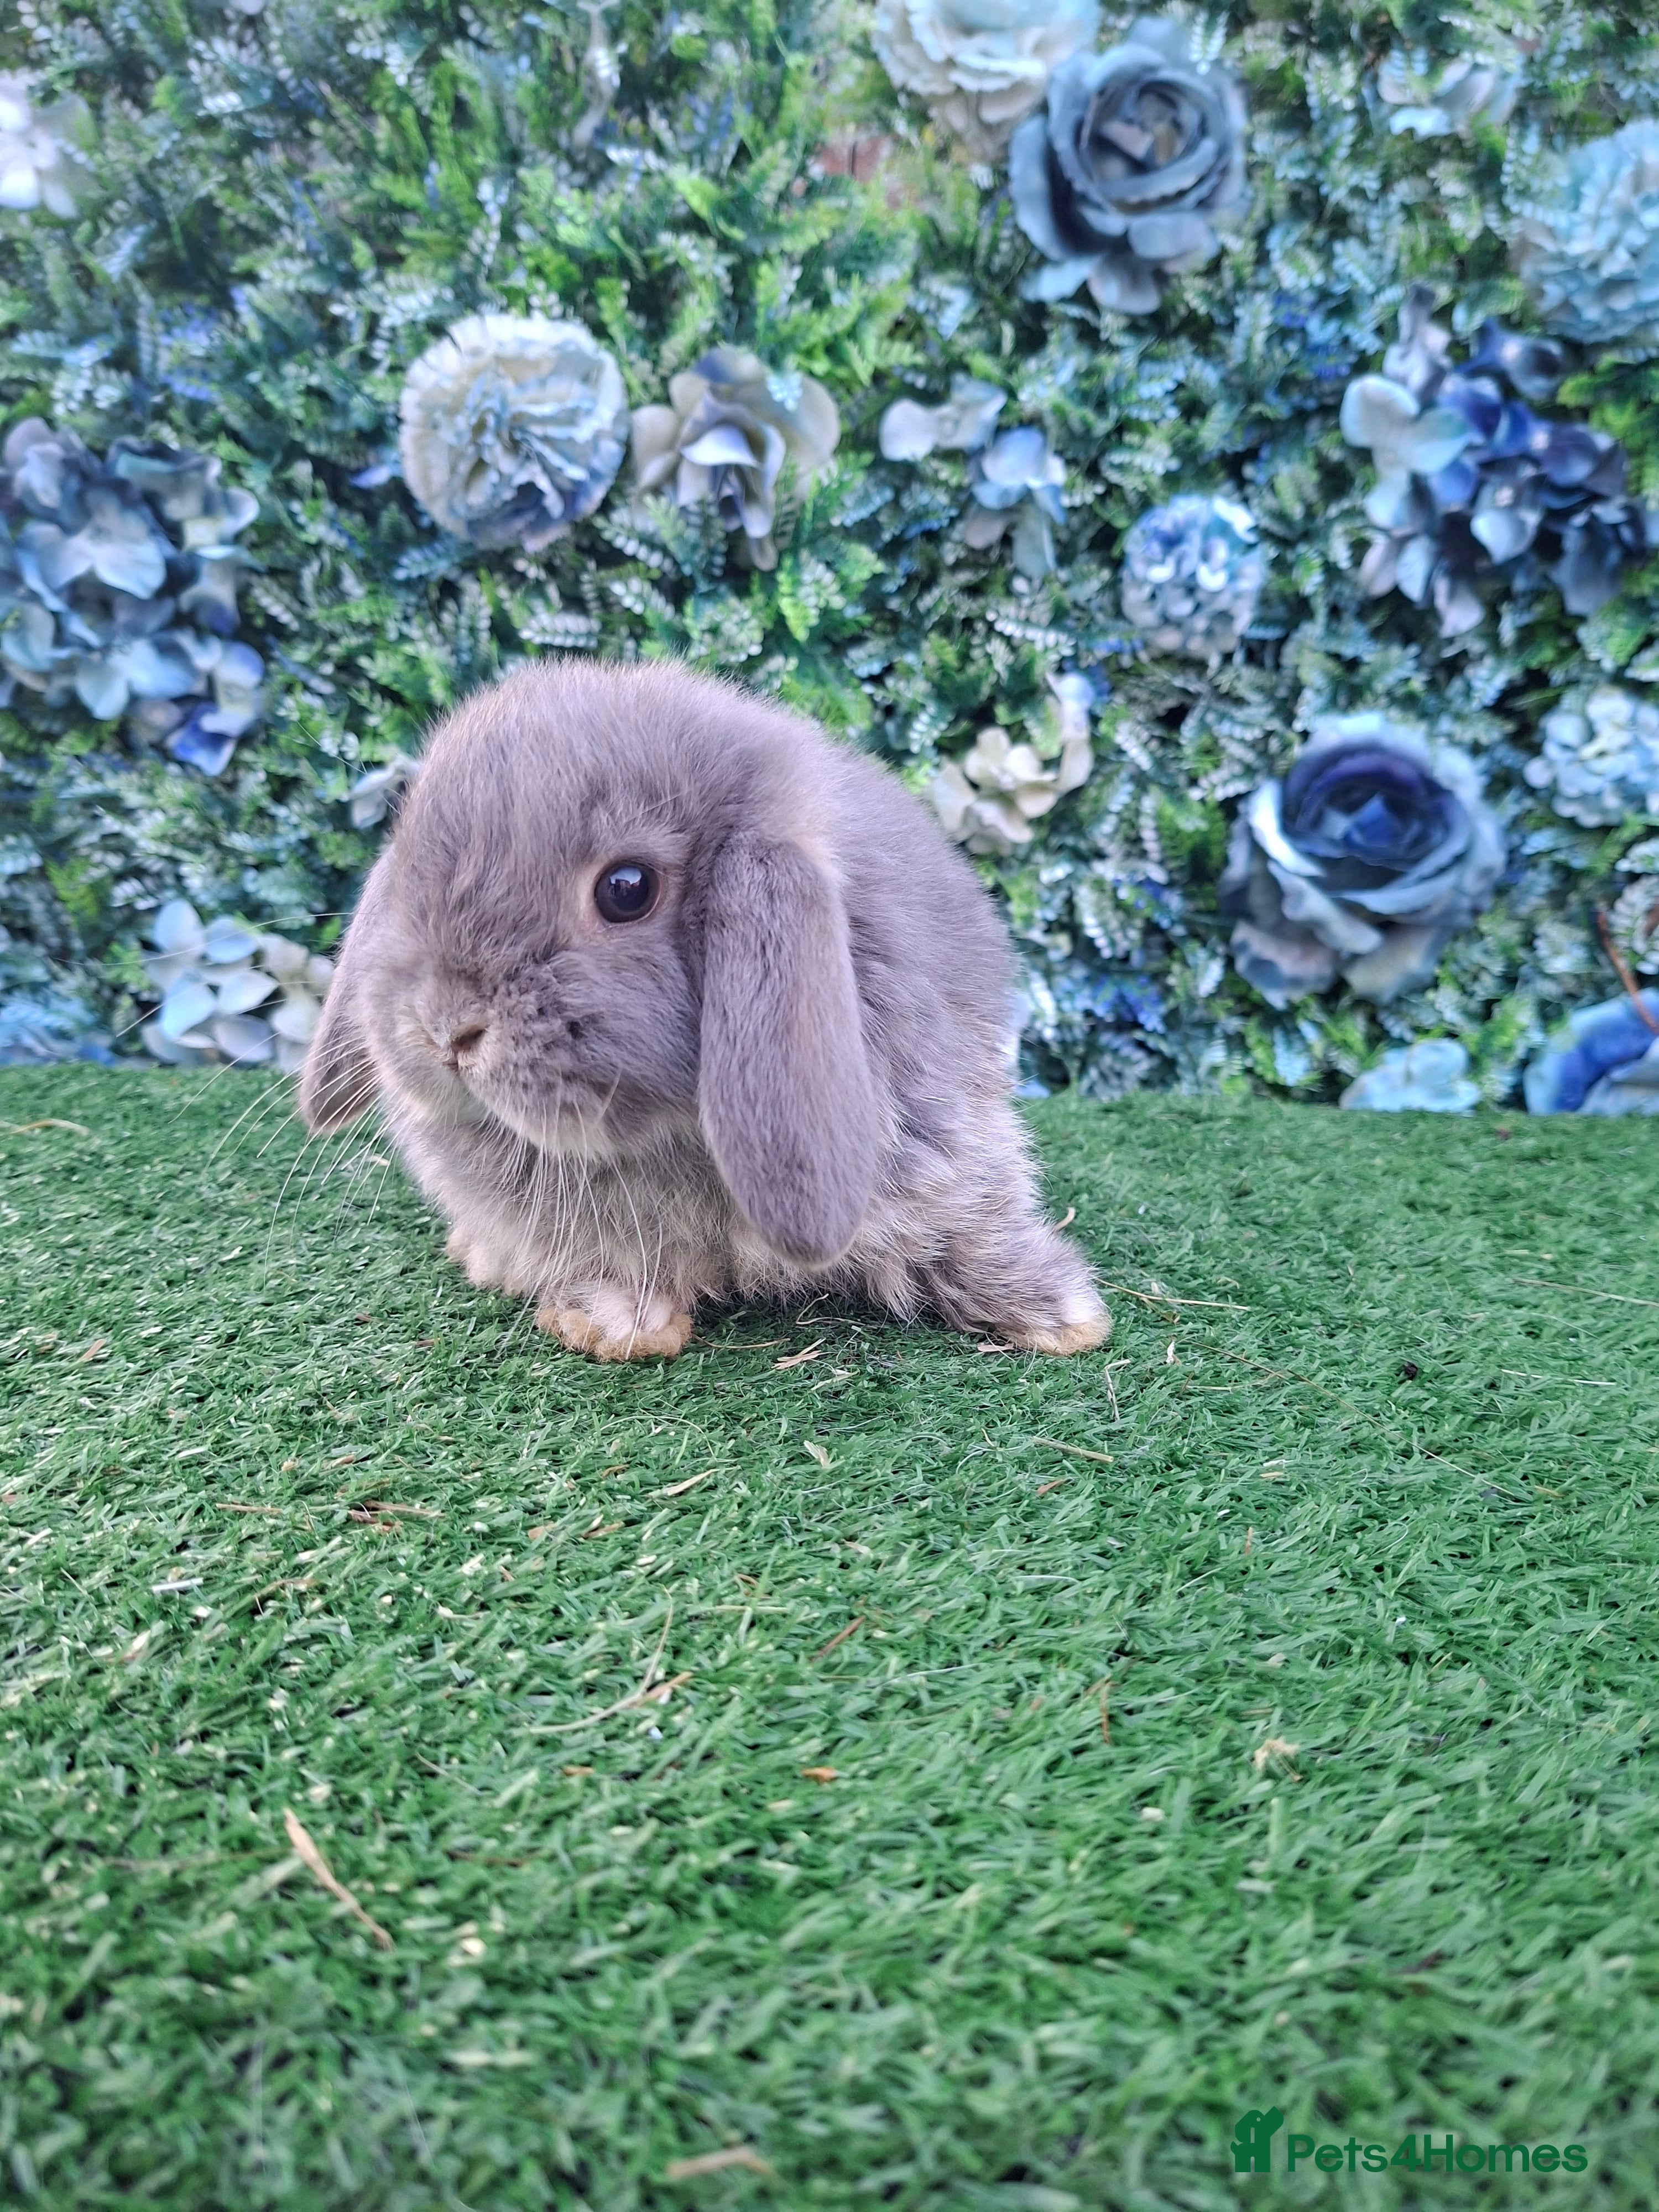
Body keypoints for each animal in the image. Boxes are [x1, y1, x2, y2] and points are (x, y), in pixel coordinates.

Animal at [299, 658, 1110, 1362]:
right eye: (409, 865)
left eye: (627, 888)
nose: (445, 1029)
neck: (679, 1132)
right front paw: (612, 1325)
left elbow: (963, 1232)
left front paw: (1061, 1314)